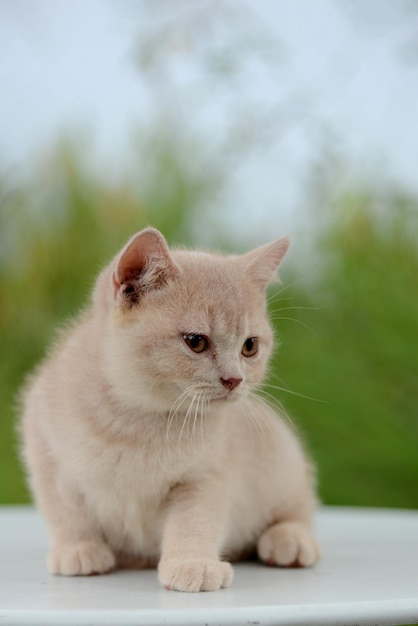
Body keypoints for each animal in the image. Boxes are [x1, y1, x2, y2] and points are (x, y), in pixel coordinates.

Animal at [19, 225, 318, 588]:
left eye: (250, 346)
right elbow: (65, 510)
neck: (137, 420)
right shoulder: (45, 450)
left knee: (298, 506)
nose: (234, 379)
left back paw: (290, 539)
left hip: (284, 461)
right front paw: (77, 548)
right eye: (196, 341)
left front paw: (192, 563)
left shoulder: (205, 474)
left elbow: (195, 520)